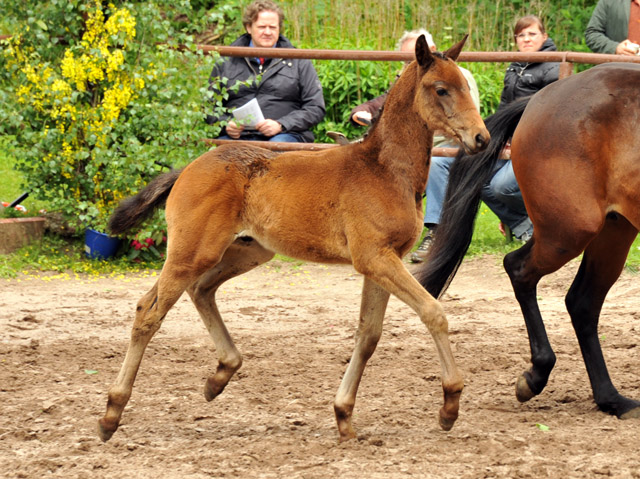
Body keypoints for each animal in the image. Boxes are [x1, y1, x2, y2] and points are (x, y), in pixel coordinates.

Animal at [97, 35, 490, 444]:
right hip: (191, 252)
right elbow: (434, 312)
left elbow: (368, 335)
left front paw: (343, 415)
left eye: (467, 86)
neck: (384, 170)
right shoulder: (375, 258)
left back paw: (220, 375)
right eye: (441, 89)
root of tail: (188, 169)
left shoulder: (383, 259)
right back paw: (112, 413)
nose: (482, 138)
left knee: (200, 290)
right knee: (149, 311)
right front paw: (449, 405)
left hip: (246, 252)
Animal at [418, 62, 640, 420]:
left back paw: (612, 399)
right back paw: (537, 376)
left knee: (582, 302)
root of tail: (539, 99)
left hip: (613, 230)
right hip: (569, 231)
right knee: (519, 269)